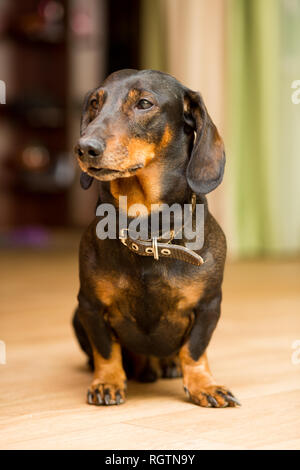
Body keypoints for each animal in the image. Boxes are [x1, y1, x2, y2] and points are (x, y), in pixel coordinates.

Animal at [73, 69, 241, 408]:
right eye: (95, 104)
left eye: (144, 103)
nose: (84, 148)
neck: (147, 230)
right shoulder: (89, 306)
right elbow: (105, 350)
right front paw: (107, 382)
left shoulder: (208, 306)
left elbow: (195, 349)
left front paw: (204, 385)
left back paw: (168, 365)